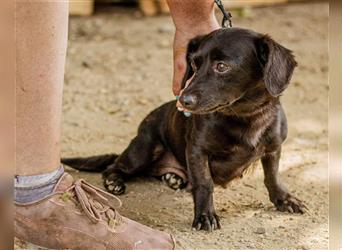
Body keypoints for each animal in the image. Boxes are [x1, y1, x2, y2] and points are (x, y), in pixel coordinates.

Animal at [62, 27, 308, 232]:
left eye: (221, 66)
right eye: (195, 64)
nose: (183, 100)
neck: (245, 116)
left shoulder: (273, 149)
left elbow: (273, 176)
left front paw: (284, 199)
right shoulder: (198, 150)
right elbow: (204, 184)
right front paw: (205, 216)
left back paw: (173, 178)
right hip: (143, 150)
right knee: (113, 166)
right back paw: (115, 181)